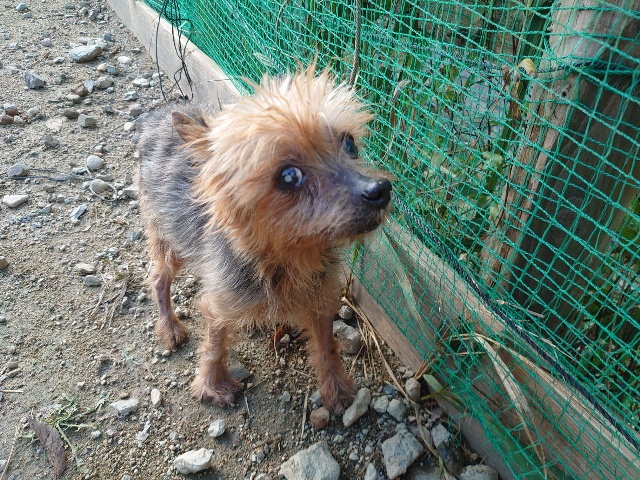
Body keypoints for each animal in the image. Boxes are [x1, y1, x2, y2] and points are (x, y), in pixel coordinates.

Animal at [137, 66, 391, 413]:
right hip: (167, 233)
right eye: (289, 176)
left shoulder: (322, 295)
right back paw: (169, 327)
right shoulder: (221, 299)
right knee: (160, 279)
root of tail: (157, 117)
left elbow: (327, 344)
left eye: (350, 143)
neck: (290, 254)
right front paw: (211, 385)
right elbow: (214, 343)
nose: (379, 190)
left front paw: (336, 389)